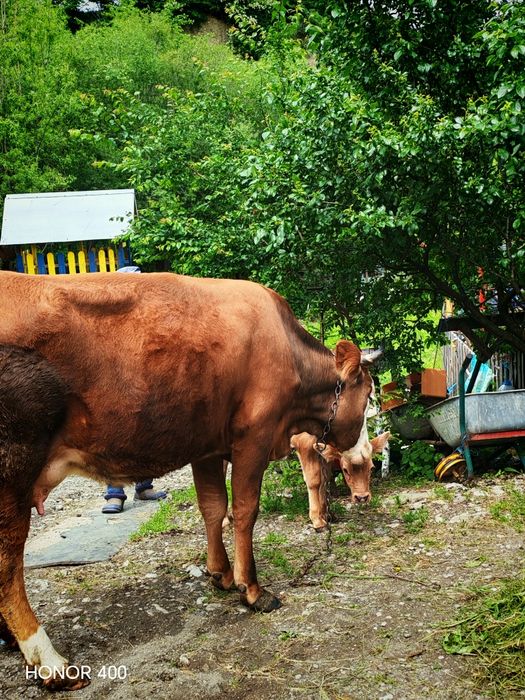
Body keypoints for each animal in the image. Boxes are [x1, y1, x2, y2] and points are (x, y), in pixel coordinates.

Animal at [0, 271, 379, 690]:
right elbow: (244, 510)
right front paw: (251, 589)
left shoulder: (208, 446)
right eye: (368, 394)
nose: (364, 454)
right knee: (7, 565)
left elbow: (213, 507)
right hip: (14, 468)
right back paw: (51, 663)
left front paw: (220, 573)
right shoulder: (254, 435)